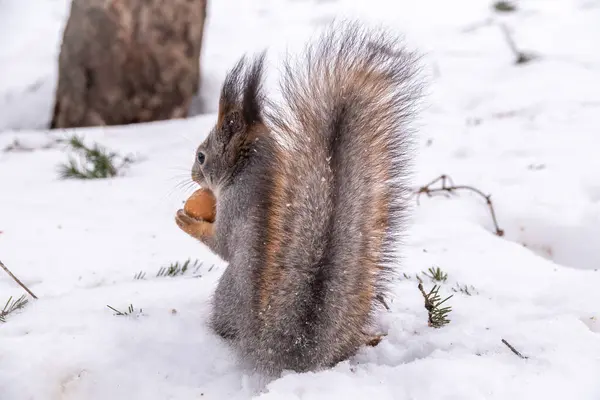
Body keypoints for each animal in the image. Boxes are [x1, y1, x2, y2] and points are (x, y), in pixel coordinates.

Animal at [176, 19, 422, 376]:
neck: (246, 168)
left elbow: (221, 244)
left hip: (226, 294)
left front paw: (186, 221)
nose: (194, 176)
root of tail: (284, 348)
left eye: (201, 156)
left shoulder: (237, 204)